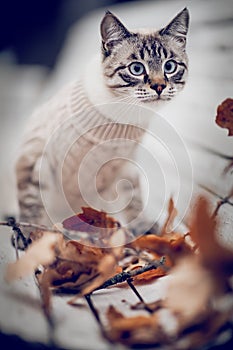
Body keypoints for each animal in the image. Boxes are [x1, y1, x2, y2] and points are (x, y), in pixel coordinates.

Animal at [15, 8, 189, 238]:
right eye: (136, 69)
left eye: (169, 66)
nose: (159, 86)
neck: (122, 115)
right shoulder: (34, 158)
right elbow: (32, 207)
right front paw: (33, 237)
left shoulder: (124, 167)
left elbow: (133, 202)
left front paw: (146, 233)